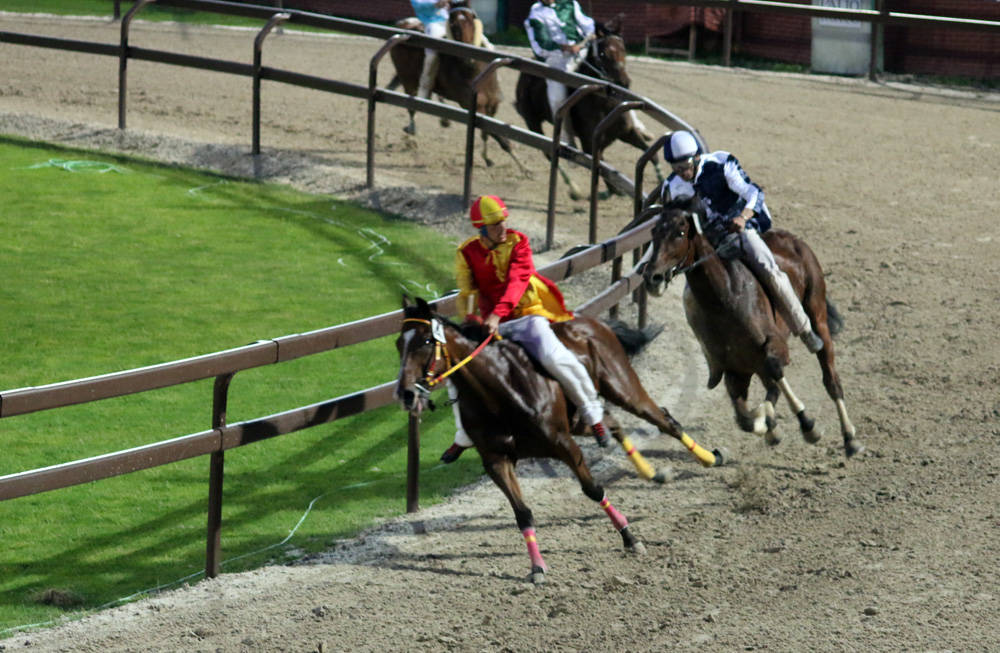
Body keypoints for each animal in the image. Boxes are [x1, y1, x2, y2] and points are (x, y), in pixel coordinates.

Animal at [388, 4, 528, 171]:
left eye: (471, 22)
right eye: (454, 26)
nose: (468, 56)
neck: (475, 71)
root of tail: (403, 24)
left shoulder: (493, 104)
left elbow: (488, 132)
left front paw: (488, 158)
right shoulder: (474, 106)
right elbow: (498, 136)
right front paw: (524, 168)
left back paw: (443, 120)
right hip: (407, 78)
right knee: (412, 104)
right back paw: (412, 131)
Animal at [394, 296, 724, 580]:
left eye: (426, 341)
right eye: (399, 343)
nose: (405, 393)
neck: (498, 391)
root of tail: (592, 323)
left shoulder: (564, 444)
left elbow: (593, 489)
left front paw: (630, 537)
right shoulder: (496, 460)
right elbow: (522, 513)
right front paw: (537, 567)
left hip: (623, 387)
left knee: (664, 420)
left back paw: (710, 457)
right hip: (581, 419)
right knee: (612, 422)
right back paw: (650, 471)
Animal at [516, 15, 664, 199]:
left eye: (623, 49)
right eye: (603, 53)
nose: (624, 82)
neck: (604, 105)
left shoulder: (627, 133)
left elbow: (652, 154)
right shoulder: (590, 144)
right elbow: (602, 169)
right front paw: (613, 191)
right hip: (532, 121)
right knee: (549, 153)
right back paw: (574, 188)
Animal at [644, 196, 864, 456]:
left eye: (679, 232)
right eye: (654, 232)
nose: (652, 278)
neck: (726, 299)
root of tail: (794, 240)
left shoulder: (775, 348)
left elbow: (775, 377)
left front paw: (806, 425)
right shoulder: (735, 371)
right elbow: (745, 417)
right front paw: (770, 427)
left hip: (817, 316)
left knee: (830, 378)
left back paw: (849, 437)